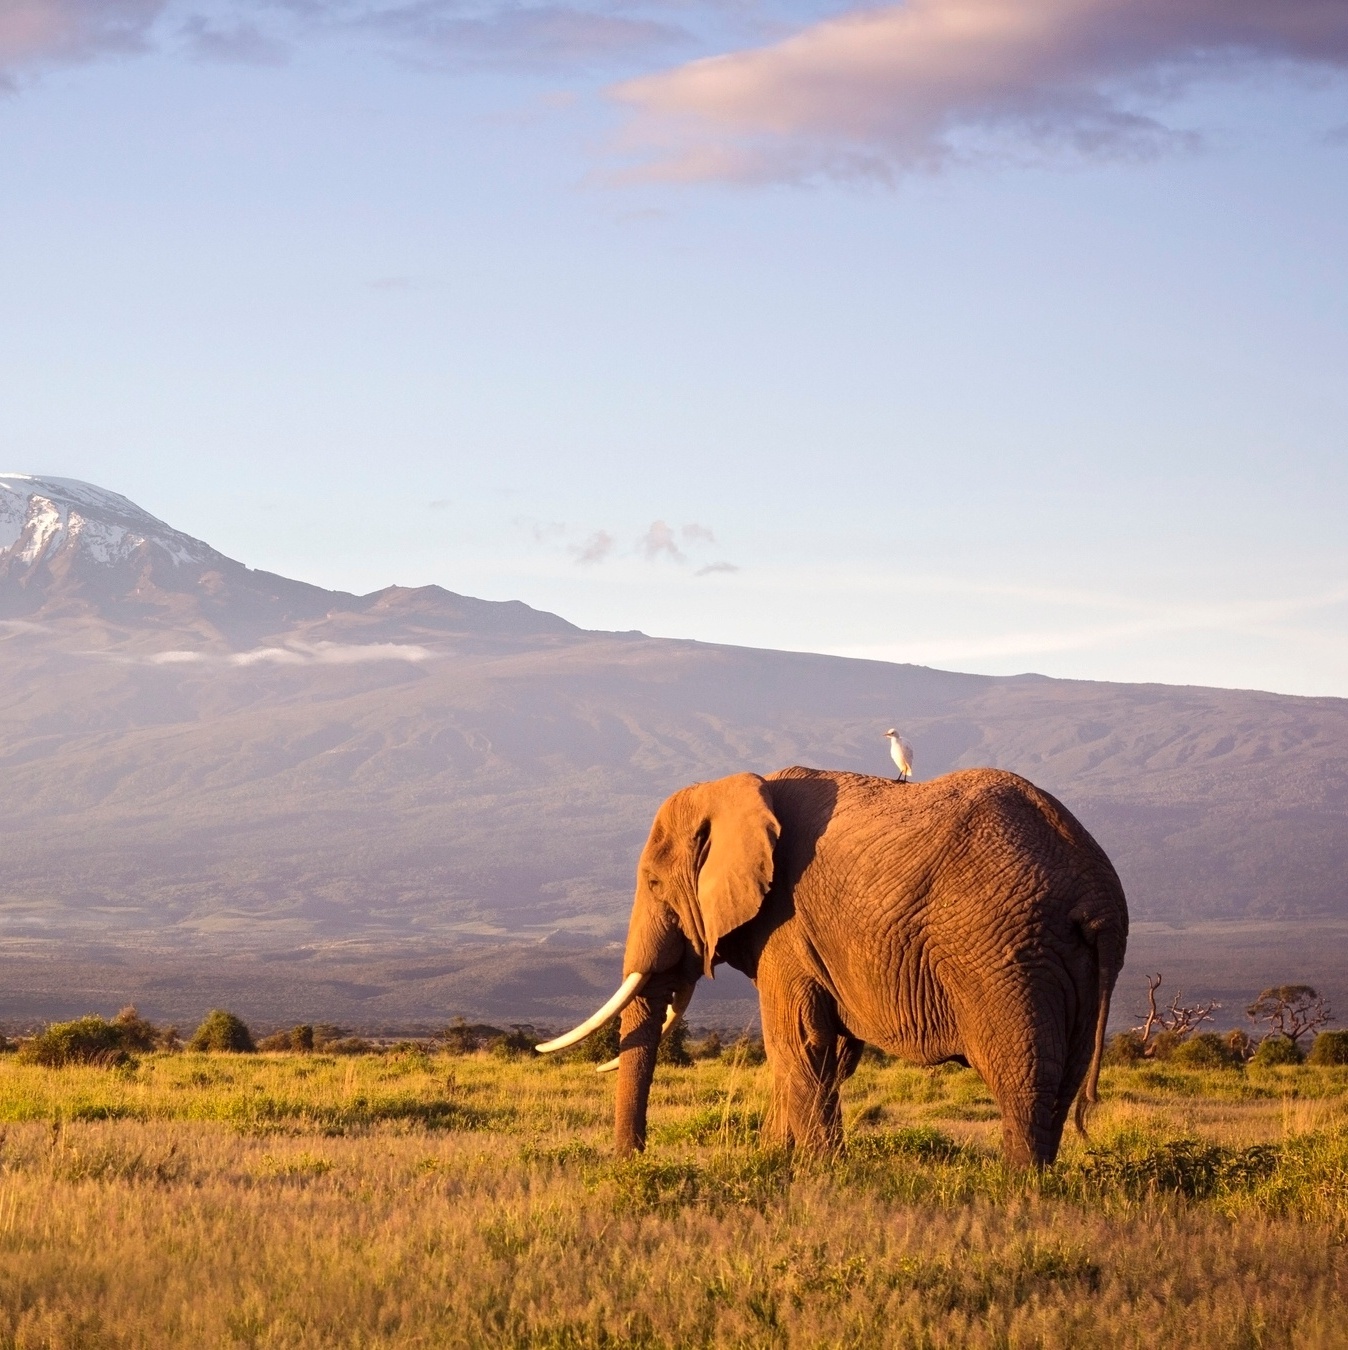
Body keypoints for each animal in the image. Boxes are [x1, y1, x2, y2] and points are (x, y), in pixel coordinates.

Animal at [537, 772, 1128, 1171]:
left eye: (655, 885)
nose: (632, 1163)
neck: (739, 788)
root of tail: (1096, 894)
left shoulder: (786, 926)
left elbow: (796, 1043)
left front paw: (819, 1175)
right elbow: (829, 1054)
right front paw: (777, 1162)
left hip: (1003, 955)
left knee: (1022, 1075)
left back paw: (1016, 1188)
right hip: (1067, 962)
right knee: (1064, 1077)